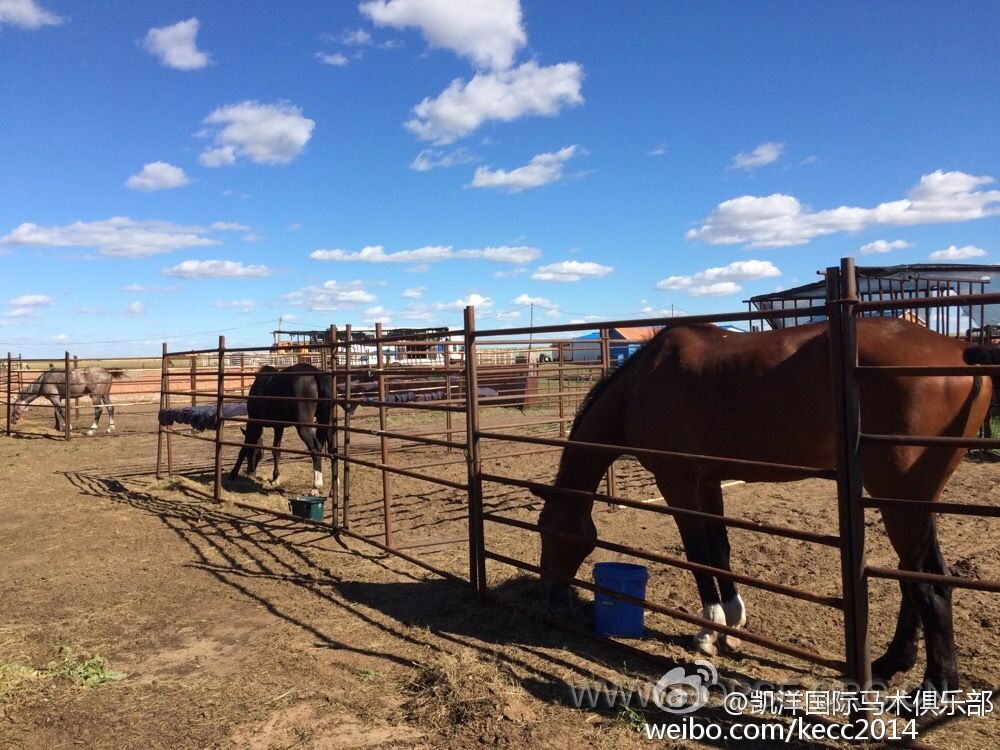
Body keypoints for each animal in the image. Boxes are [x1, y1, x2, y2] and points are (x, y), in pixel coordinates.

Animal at [540, 318, 1000, 692]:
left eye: (550, 531)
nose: (552, 591)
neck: (642, 383)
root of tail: (960, 351)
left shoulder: (678, 483)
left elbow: (698, 554)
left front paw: (708, 631)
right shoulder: (708, 482)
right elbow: (720, 550)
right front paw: (733, 621)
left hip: (903, 496)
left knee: (929, 583)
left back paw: (937, 686)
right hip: (912, 497)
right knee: (914, 574)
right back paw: (891, 663)